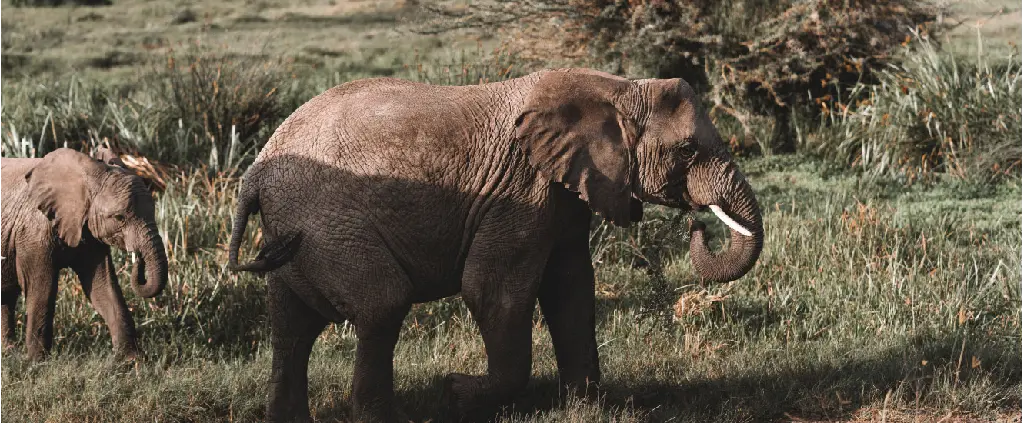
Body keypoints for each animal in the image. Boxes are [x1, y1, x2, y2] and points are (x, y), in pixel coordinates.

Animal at [0, 146, 167, 358]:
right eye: (119, 218)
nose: (137, 259)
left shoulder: (88, 229)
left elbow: (103, 287)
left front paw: (132, 360)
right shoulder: (33, 234)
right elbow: (42, 289)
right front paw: (37, 361)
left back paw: (8, 352)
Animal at [228, 68, 765, 417]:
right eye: (687, 151)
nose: (698, 224)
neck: (617, 88)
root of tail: (255, 172)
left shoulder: (563, 190)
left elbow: (571, 289)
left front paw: (587, 407)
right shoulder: (519, 192)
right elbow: (493, 291)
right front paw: (455, 392)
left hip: (297, 230)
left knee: (291, 327)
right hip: (326, 223)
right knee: (382, 303)